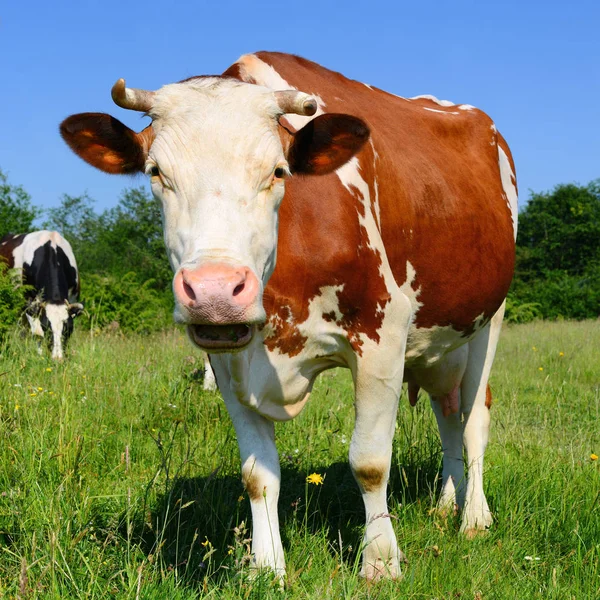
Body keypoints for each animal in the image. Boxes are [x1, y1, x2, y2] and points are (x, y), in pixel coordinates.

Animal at [63, 52, 516, 580]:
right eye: (156, 172)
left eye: (278, 171)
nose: (215, 290)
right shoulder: (228, 357)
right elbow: (257, 474)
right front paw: (266, 567)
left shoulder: (383, 332)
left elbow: (370, 462)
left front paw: (380, 562)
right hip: (438, 341)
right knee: (447, 413)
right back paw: (445, 503)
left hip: (489, 319)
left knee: (473, 417)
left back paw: (474, 517)